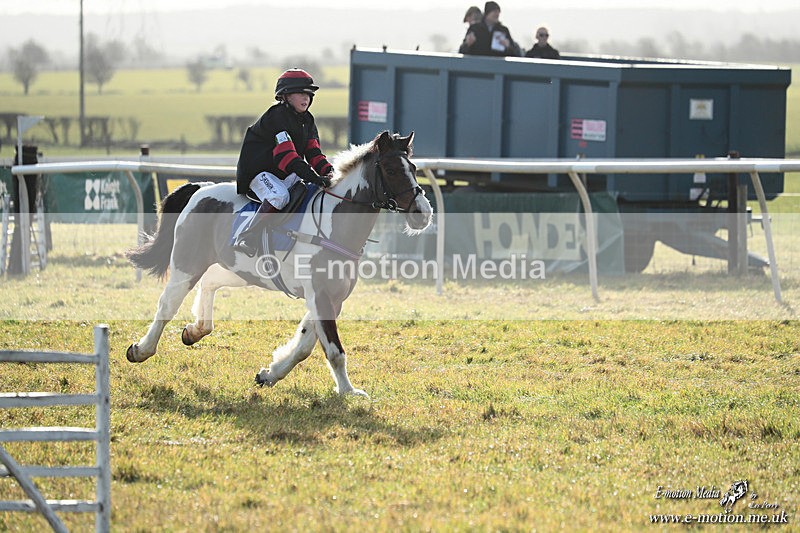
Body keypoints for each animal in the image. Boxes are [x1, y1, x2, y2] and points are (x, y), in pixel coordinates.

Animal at [125, 131, 431, 397]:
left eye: (413, 167)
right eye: (390, 169)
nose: (423, 213)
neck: (333, 227)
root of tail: (201, 189)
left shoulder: (332, 298)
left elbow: (305, 345)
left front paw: (270, 374)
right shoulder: (320, 295)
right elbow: (334, 351)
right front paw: (348, 391)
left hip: (237, 269)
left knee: (210, 283)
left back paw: (195, 330)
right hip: (187, 263)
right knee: (167, 304)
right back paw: (141, 349)